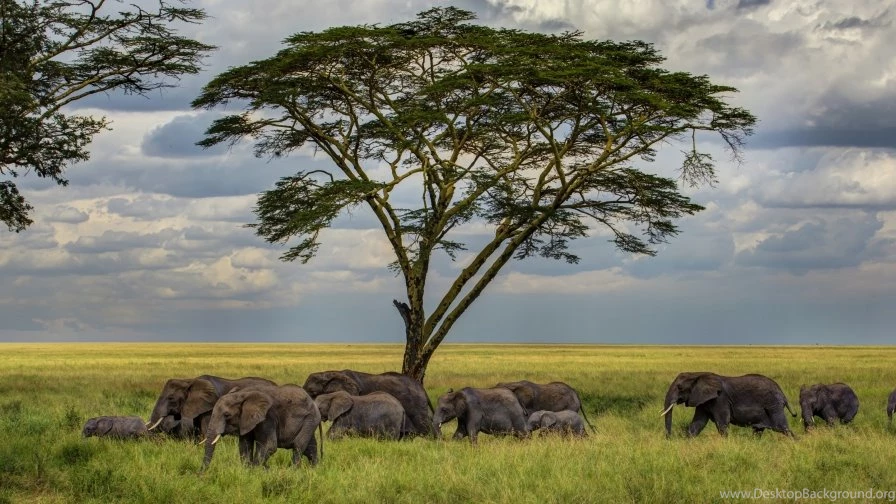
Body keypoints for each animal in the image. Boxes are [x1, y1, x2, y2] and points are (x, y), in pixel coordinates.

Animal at [662, 372, 796, 438]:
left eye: (680, 387)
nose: (669, 438)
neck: (697, 374)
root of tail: (782, 393)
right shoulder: (703, 400)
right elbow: (697, 423)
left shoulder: (721, 399)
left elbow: (722, 423)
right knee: (758, 431)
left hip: (773, 405)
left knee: (782, 428)